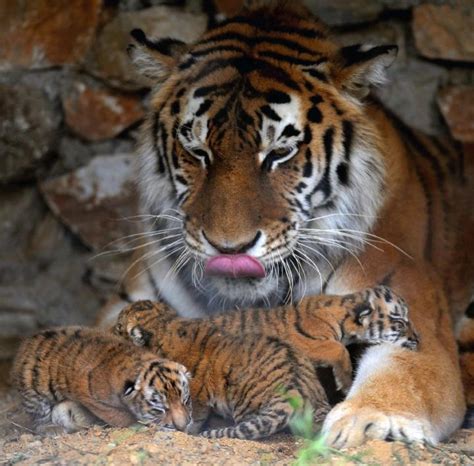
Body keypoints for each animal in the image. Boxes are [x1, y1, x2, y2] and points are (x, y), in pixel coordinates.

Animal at [97, 0, 474, 448]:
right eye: (197, 151)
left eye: (279, 153)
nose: (230, 249)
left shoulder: (408, 302)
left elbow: (403, 371)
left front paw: (370, 419)